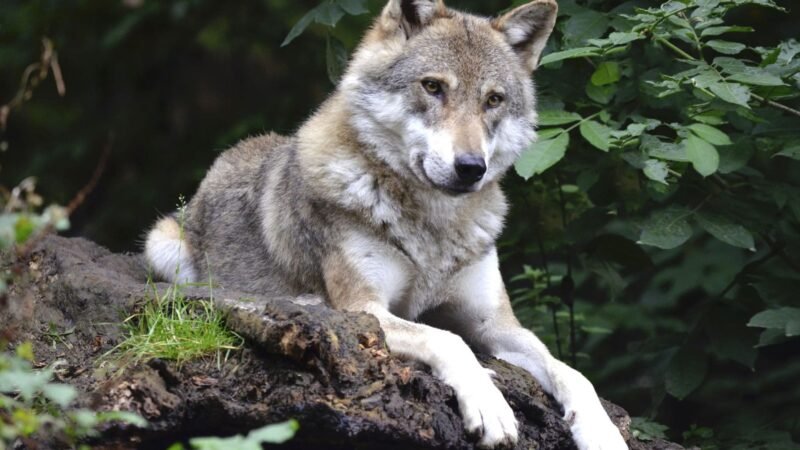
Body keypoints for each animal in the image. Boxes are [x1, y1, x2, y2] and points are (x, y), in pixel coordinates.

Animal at [145, 1, 632, 448]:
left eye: (493, 100)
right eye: (433, 87)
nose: (471, 167)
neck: (433, 229)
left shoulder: (497, 325)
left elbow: (572, 372)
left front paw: (603, 433)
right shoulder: (367, 308)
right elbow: (447, 340)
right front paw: (490, 405)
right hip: (164, 247)